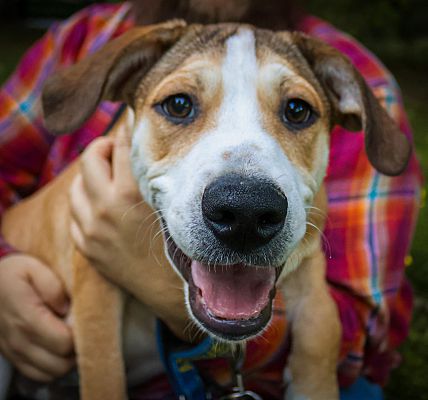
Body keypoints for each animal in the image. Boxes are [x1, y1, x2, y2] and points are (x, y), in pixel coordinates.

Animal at [2, 19, 412, 400]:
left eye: (298, 110)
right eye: (179, 104)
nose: (246, 213)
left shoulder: (310, 266)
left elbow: (326, 324)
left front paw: (315, 385)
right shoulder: (95, 291)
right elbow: (105, 376)